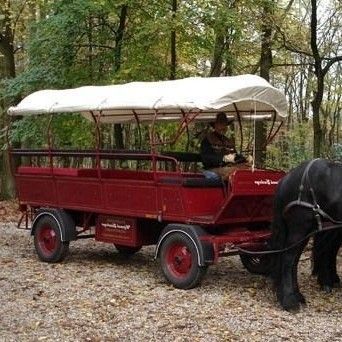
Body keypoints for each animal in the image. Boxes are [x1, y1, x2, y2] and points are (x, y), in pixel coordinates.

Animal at [272, 159, 342, 312]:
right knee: (288, 259)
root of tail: (286, 178)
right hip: (299, 227)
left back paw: (297, 295)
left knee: (295, 260)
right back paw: (289, 300)